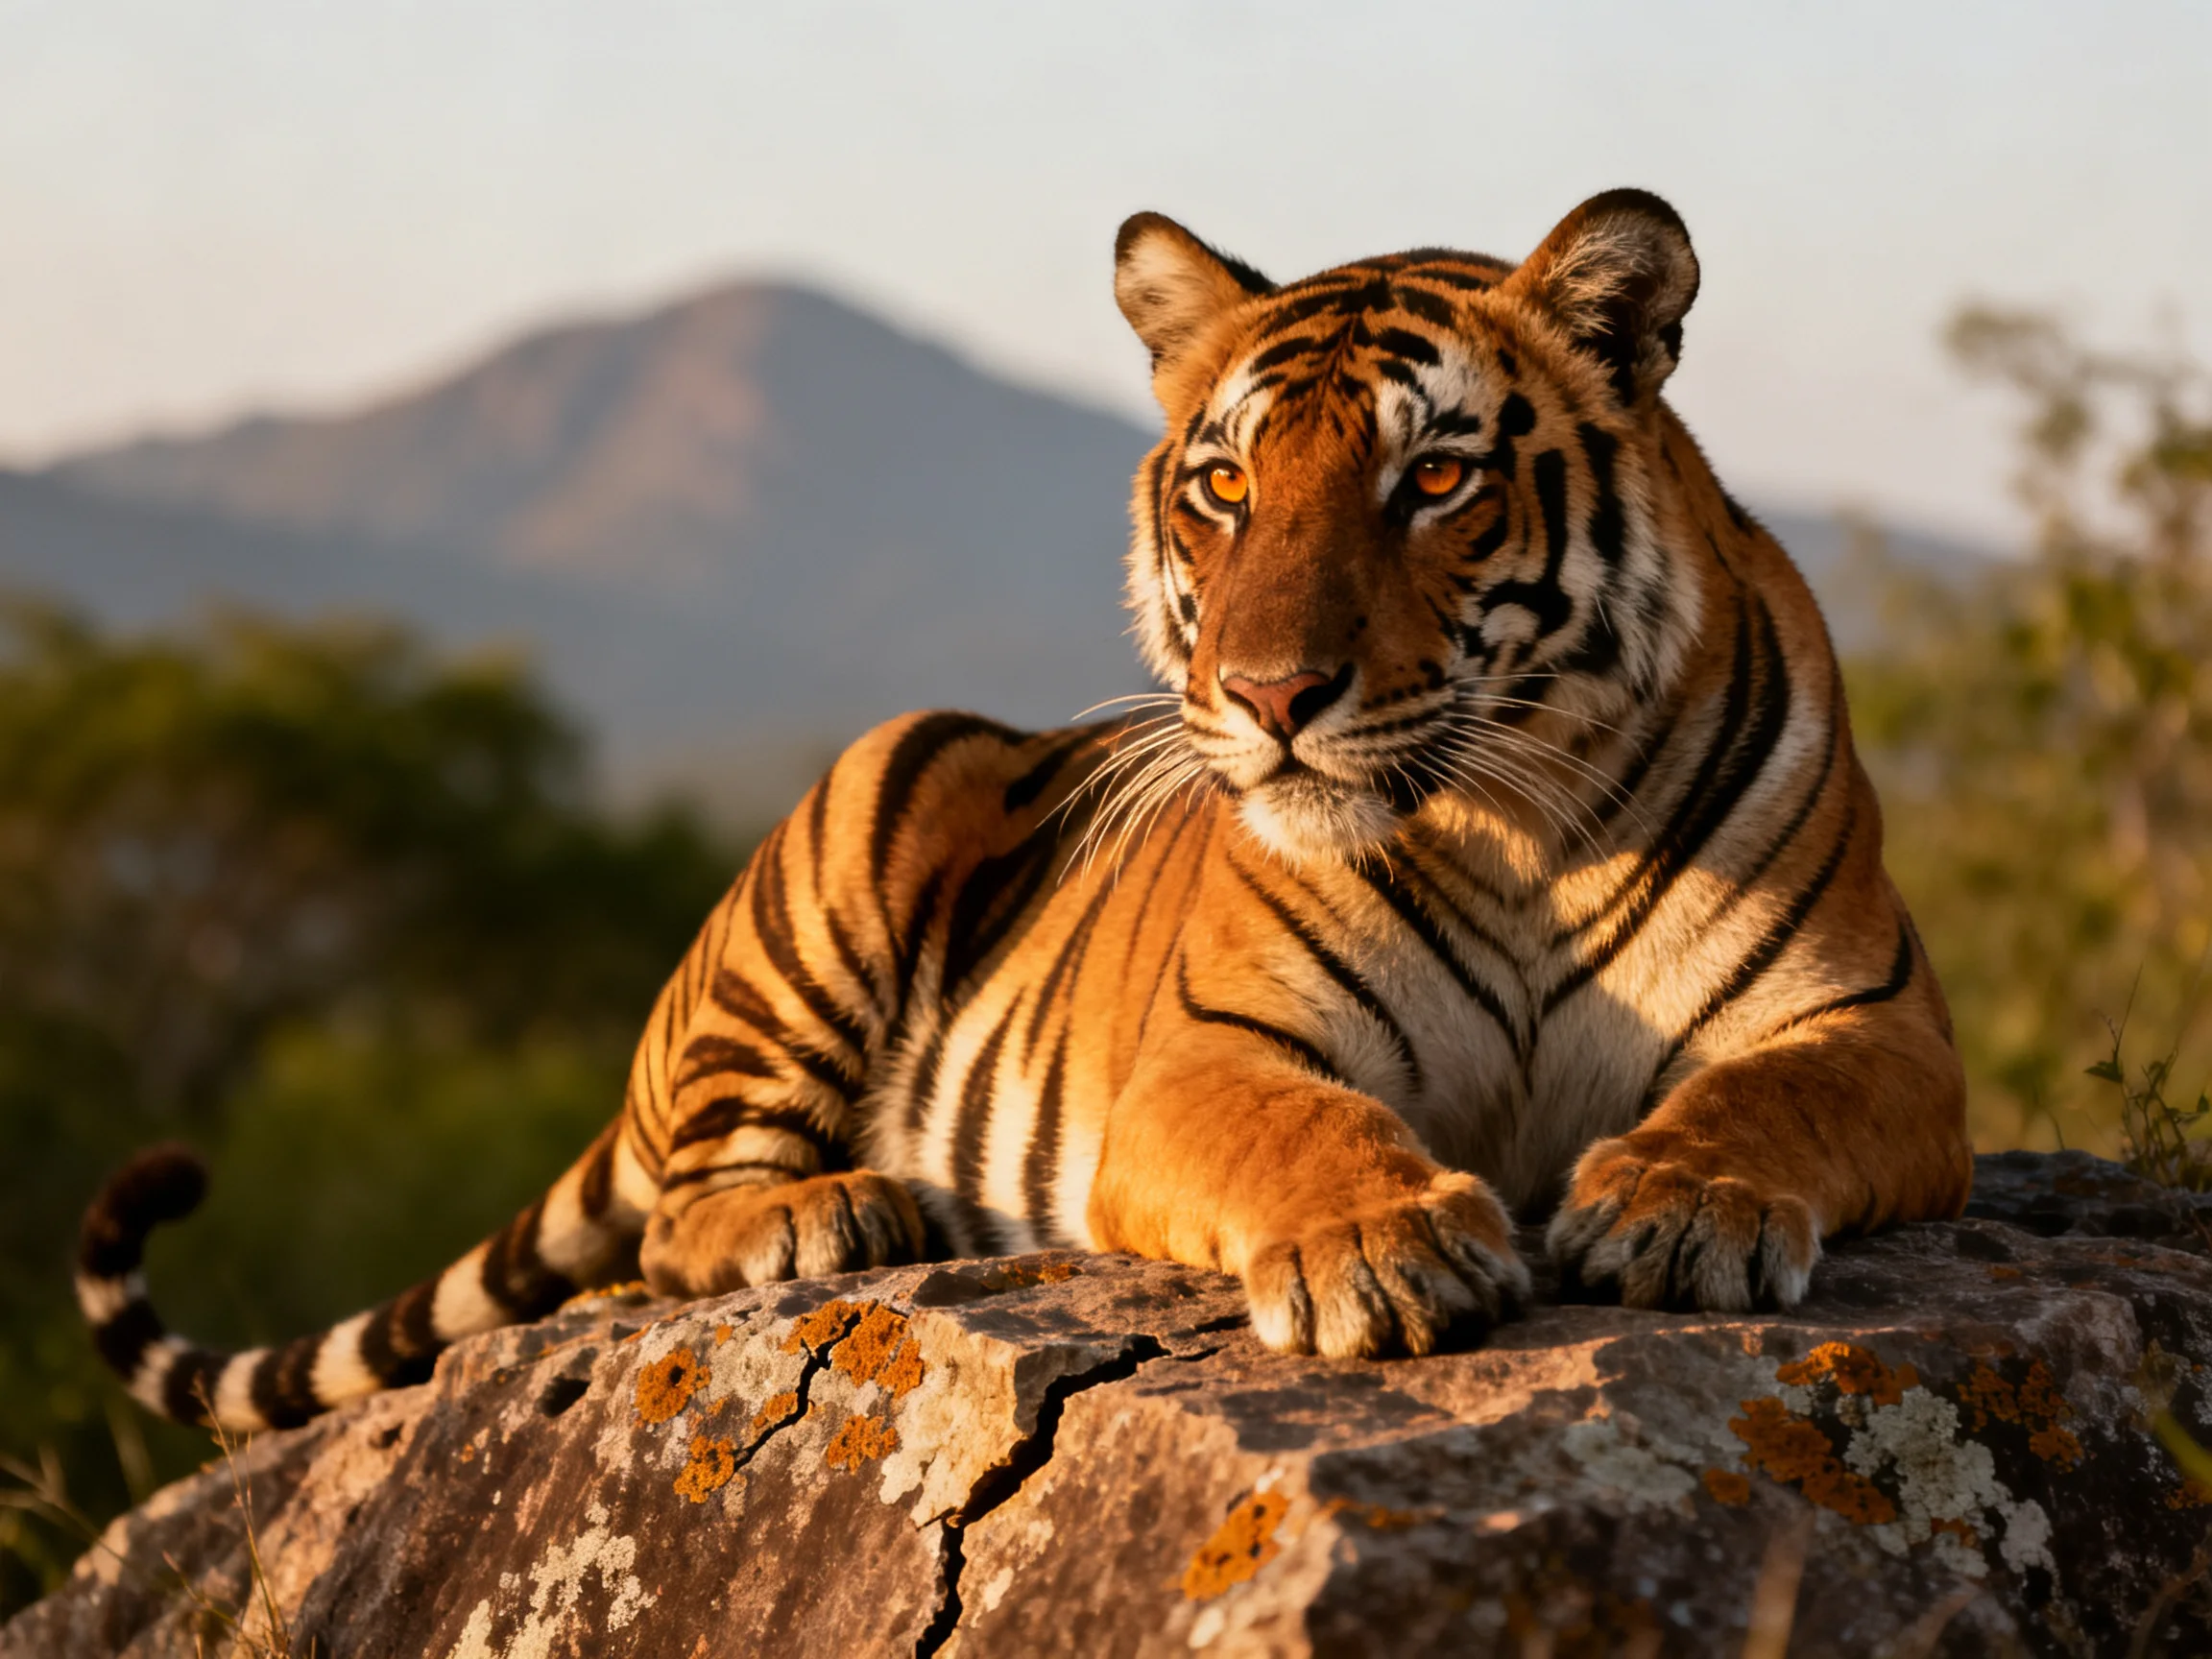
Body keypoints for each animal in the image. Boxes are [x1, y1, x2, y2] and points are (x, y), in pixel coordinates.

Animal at [79, 188, 1972, 1434]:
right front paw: (1381, 1242)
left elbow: (1768, 1097)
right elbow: (1306, 1131)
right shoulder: (1207, 1055)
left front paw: (1683, 1203)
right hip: (866, 804)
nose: (1270, 697)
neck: (1516, 828)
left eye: (1433, 476)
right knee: (682, 1216)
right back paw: (833, 1209)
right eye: (1226, 485)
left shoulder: (1870, 1024)